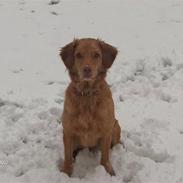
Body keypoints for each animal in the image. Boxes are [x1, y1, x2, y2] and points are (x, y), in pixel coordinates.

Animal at [59, 38, 121, 176]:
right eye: (78, 55)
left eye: (96, 55)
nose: (87, 69)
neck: (87, 94)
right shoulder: (68, 131)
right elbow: (67, 157)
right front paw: (66, 173)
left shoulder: (106, 131)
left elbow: (105, 157)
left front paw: (108, 171)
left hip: (115, 126)